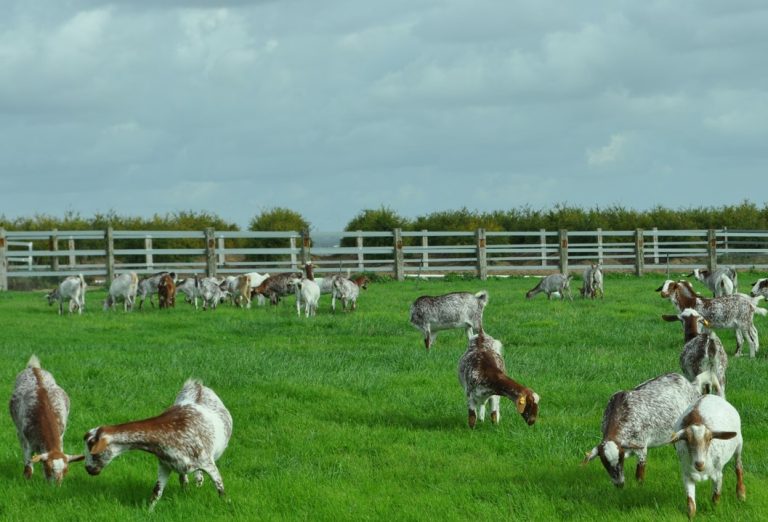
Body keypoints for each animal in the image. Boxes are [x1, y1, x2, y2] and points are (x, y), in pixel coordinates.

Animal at [9, 354, 83, 484]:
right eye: (48, 468)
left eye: (66, 470)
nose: (56, 486)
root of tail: (34, 368)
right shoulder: (28, 442)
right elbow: (28, 464)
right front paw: (27, 478)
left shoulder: (61, 436)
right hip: (18, 430)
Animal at [83, 378, 232, 508]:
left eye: (94, 453)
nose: (88, 469)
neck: (173, 432)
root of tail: (197, 385)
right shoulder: (165, 465)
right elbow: (157, 491)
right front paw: (149, 511)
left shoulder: (208, 463)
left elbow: (220, 488)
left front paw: (225, 504)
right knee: (185, 478)